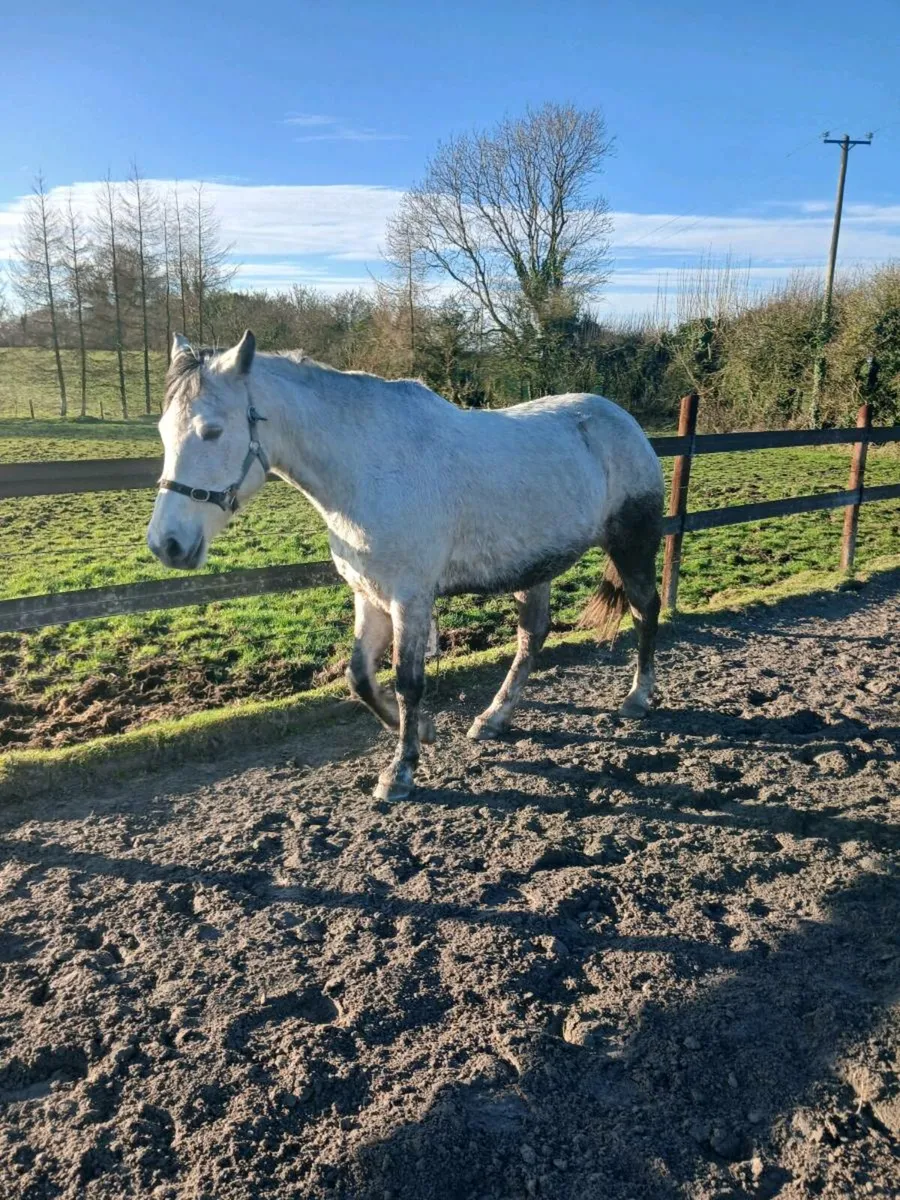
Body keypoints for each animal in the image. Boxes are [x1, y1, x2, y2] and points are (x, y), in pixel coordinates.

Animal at [147, 330, 665, 802]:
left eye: (212, 431)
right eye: (163, 432)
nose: (167, 544)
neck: (368, 467)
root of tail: (623, 420)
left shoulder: (410, 599)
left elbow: (407, 682)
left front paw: (401, 770)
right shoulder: (369, 594)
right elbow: (359, 677)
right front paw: (426, 732)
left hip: (632, 544)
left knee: (645, 611)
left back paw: (637, 698)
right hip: (535, 568)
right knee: (531, 636)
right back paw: (494, 718)